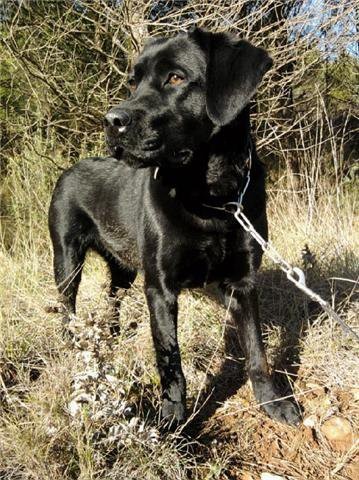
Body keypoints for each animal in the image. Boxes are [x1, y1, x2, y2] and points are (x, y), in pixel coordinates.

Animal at [48, 28, 300, 426]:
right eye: (134, 82)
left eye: (176, 78)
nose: (111, 120)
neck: (211, 199)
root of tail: (69, 169)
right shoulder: (160, 288)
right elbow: (171, 361)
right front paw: (172, 419)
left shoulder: (243, 281)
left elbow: (257, 351)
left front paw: (273, 402)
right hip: (67, 259)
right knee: (67, 305)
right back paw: (74, 345)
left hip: (123, 269)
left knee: (112, 298)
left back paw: (112, 337)